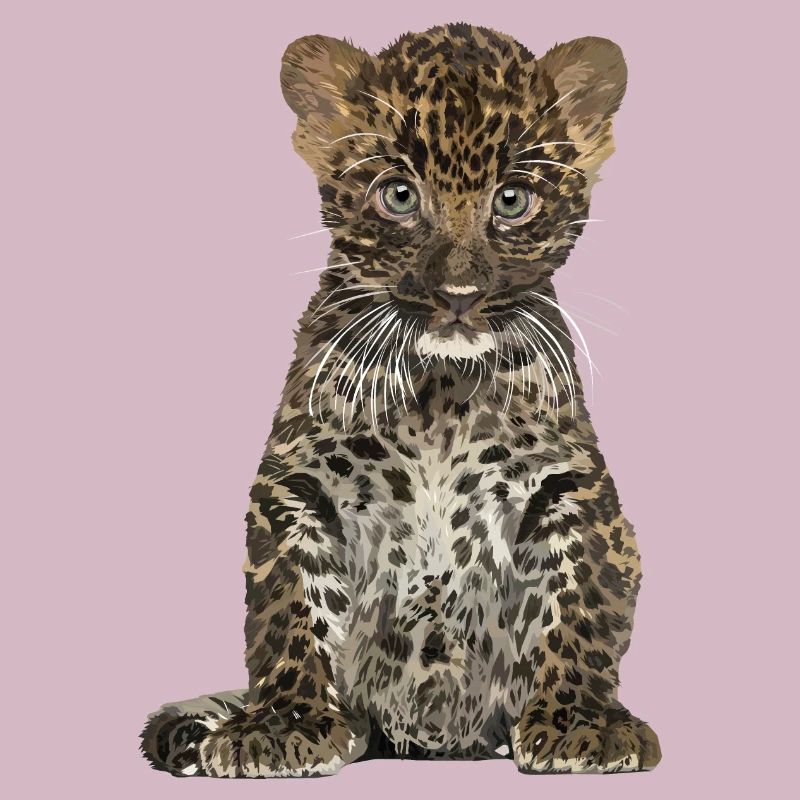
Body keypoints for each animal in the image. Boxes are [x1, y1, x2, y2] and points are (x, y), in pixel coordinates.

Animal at [140, 22, 661, 777]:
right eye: (398, 196)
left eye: (512, 200)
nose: (458, 294)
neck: (440, 391)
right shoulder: (298, 483)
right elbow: (290, 604)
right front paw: (284, 724)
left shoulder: (569, 485)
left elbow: (581, 599)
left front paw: (581, 723)